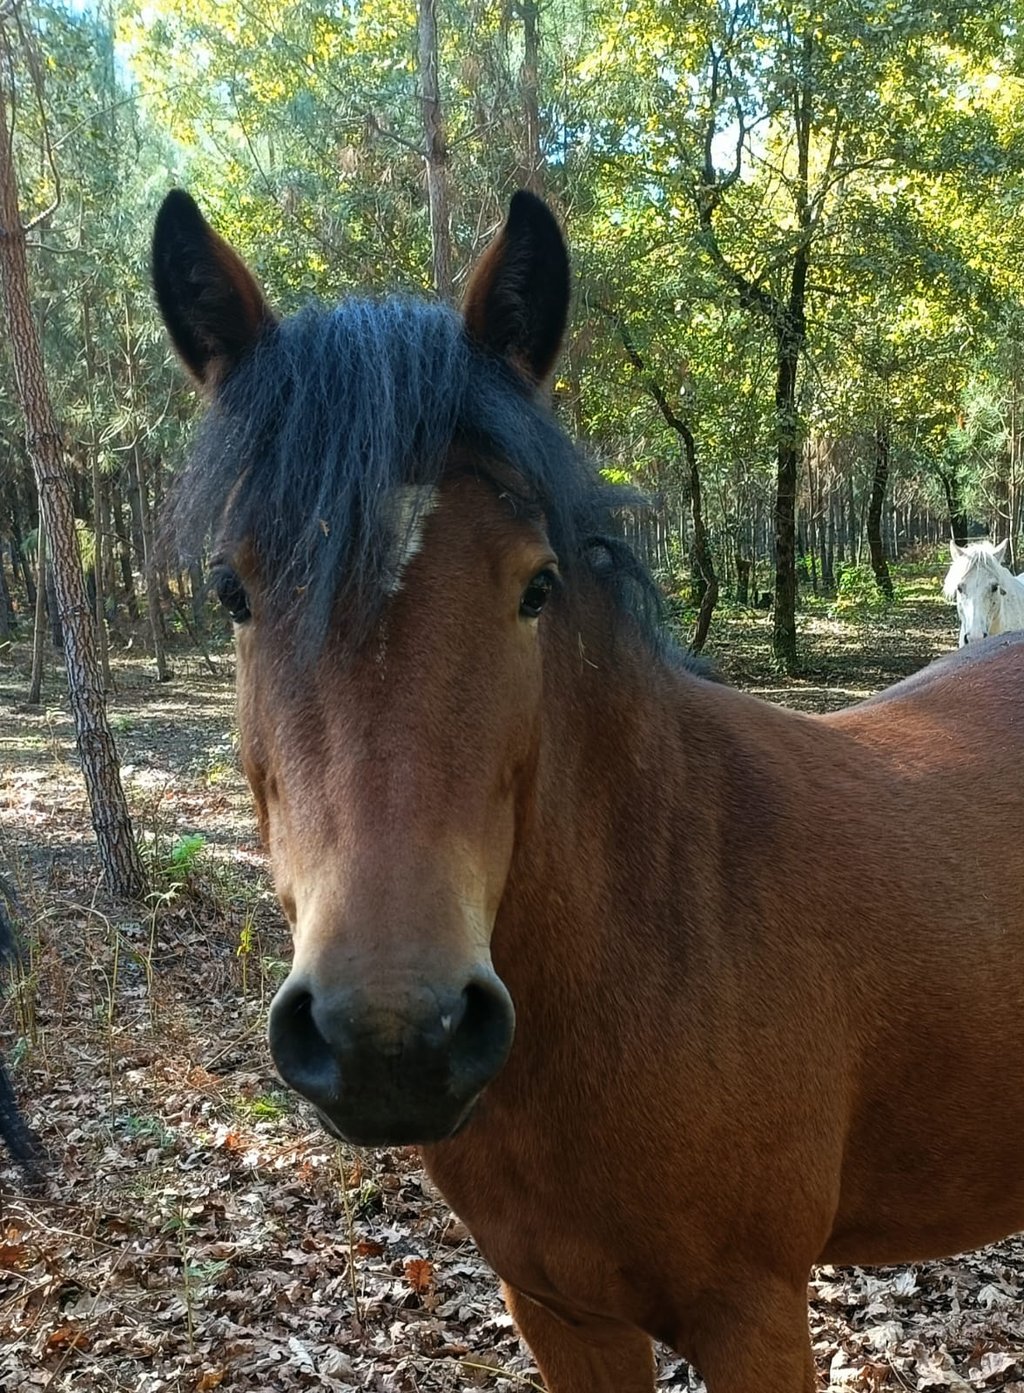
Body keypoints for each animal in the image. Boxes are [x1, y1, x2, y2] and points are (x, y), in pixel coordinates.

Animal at [153, 187, 1024, 1393]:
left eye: (537, 585)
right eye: (233, 592)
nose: (394, 1036)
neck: (655, 931)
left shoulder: (753, 1315)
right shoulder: (562, 1312)